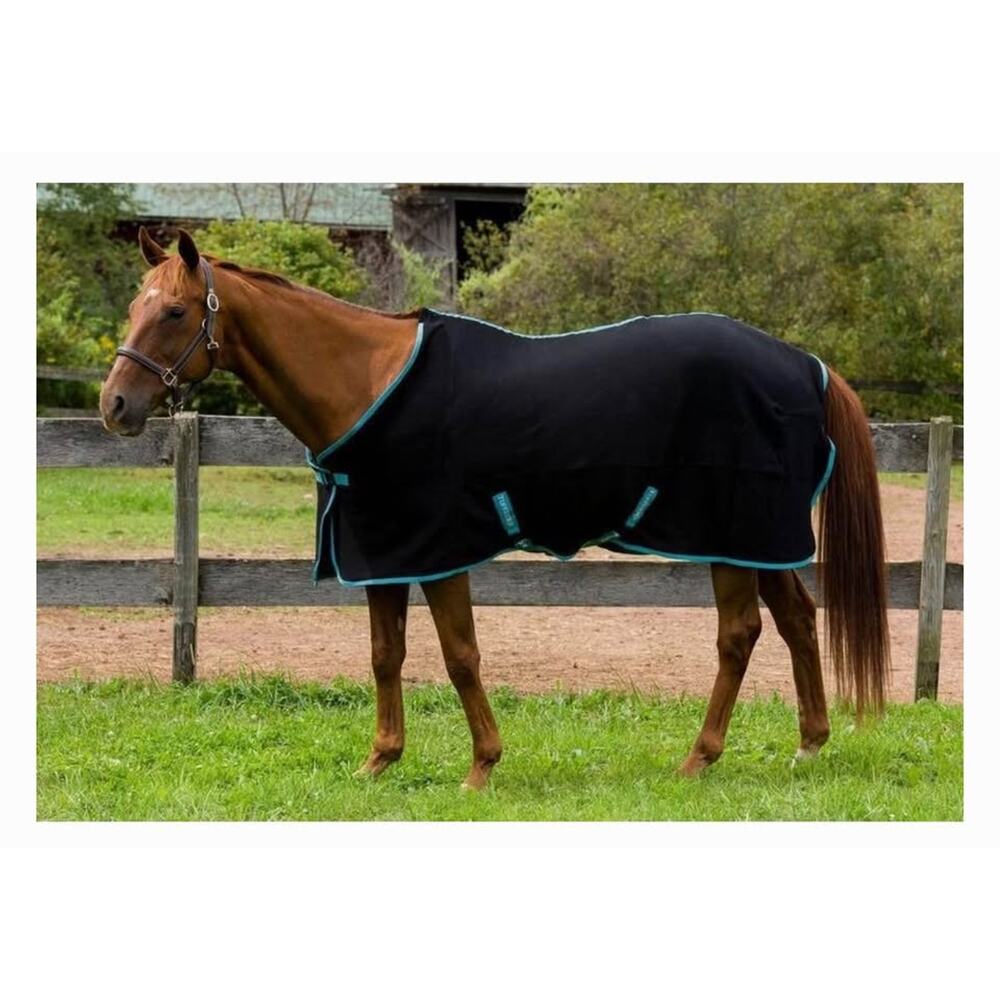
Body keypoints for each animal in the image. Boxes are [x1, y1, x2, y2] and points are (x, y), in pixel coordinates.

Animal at [99, 227, 889, 789]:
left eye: (174, 312)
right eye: (134, 307)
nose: (115, 406)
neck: (367, 381)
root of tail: (804, 363)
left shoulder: (439, 549)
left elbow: (460, 655)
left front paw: (481, 766)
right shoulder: (382, 550)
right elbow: (386, 655)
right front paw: (380, 761)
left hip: (729, 532)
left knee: (740, 634)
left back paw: (699, 758)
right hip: (760, 537)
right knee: (796, 620)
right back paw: (808, 747)